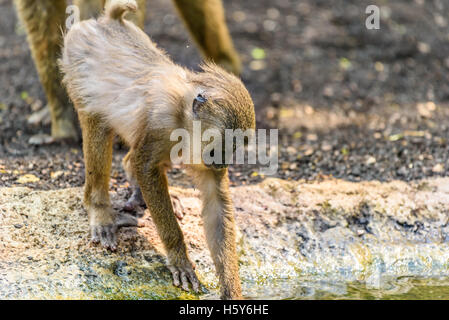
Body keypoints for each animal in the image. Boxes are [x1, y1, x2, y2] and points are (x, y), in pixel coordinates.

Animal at [60, 0, 256, 300]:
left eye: (235, 147)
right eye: (225, 144)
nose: (224, 160)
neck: (184, 112)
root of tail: (107, 22)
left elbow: (216, 206)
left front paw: (231, 291)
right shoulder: (162, 121)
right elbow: (146, 167)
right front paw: (179, 258)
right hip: (78, 64)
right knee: (97, 123)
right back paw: (100, 209)